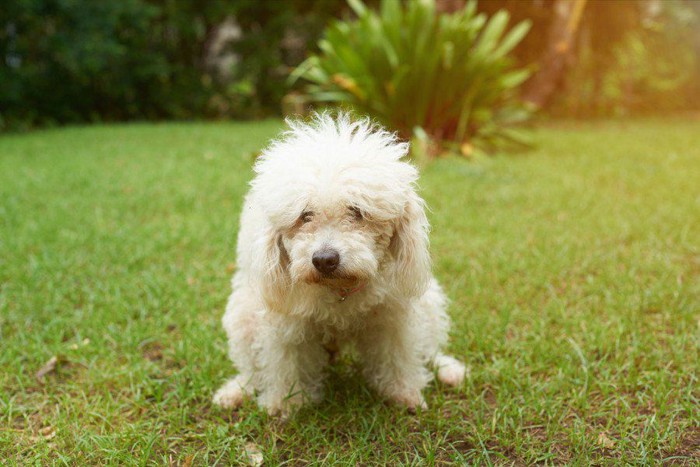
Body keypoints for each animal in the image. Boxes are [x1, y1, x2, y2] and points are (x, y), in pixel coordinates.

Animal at [213, 114, 464, 416]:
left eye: (357, 211)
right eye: (304, 215)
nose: (324, 260)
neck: (338, 290)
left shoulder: (392, 315)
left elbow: (397, 356)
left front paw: (403, 393)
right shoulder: (284, 322)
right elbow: (284, 363)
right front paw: (286, 403)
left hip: (429, 302)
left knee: (429, 349)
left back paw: (448, 369)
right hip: (242, 314)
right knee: (250, 368)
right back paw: (236, 391)